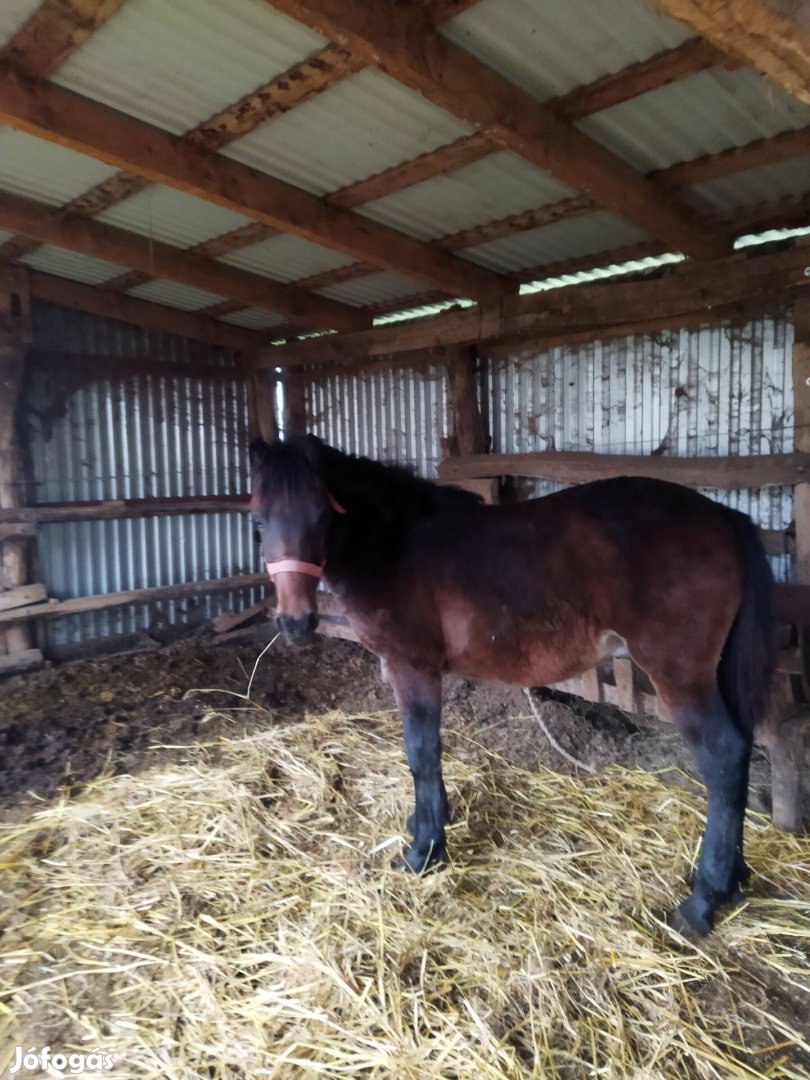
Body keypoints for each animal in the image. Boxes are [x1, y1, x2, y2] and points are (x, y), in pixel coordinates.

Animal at [249, 432, 773, 937]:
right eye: (257, 519)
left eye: (323, 516)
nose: (296, 623)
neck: (394, 543)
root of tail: (723, 517)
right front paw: (426, 825)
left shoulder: (412, 667)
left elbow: (421, 752)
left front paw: (424, 851)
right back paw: (732, 882)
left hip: (679, 676)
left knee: (724, 758)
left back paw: (702, 904)